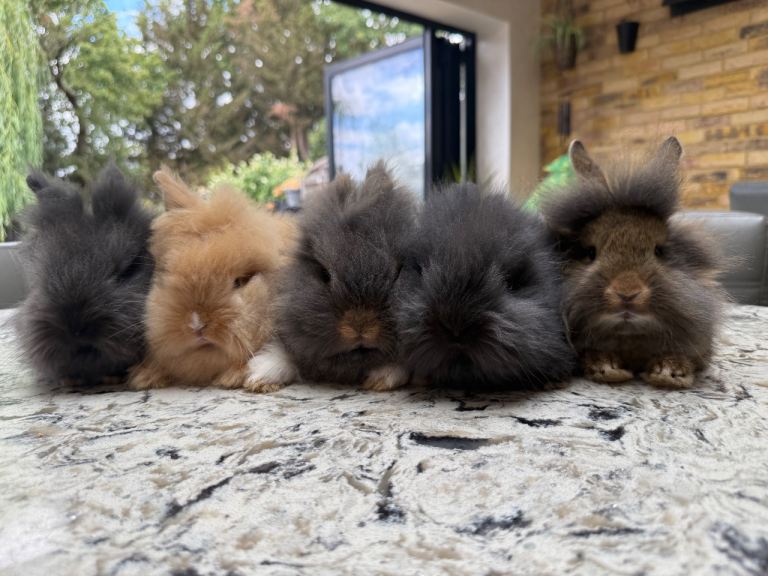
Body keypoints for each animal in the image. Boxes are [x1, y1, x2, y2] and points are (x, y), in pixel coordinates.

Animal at [541, 137, 725, 388]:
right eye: (590, 253)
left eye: (660, 251)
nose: (627, 293)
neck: (629, 335)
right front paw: (608, 370)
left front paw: (669, 374)